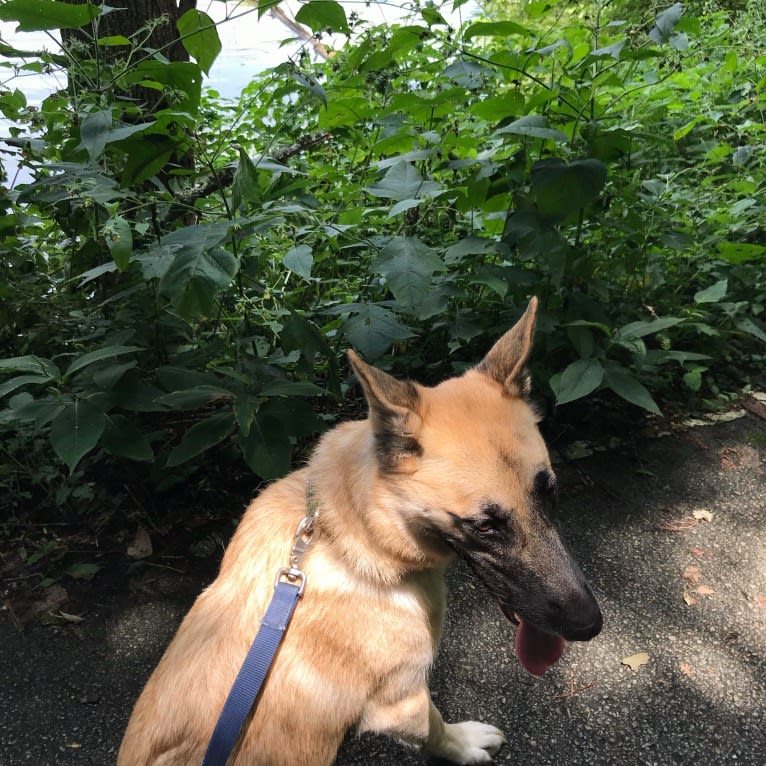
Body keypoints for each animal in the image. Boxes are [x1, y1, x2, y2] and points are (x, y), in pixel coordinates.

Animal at [117, 298, 604, 766]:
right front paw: (464, 745)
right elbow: (436, 729)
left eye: (550, 494)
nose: (590, 625)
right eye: (485, 526)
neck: (344, 536)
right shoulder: (403, 702)